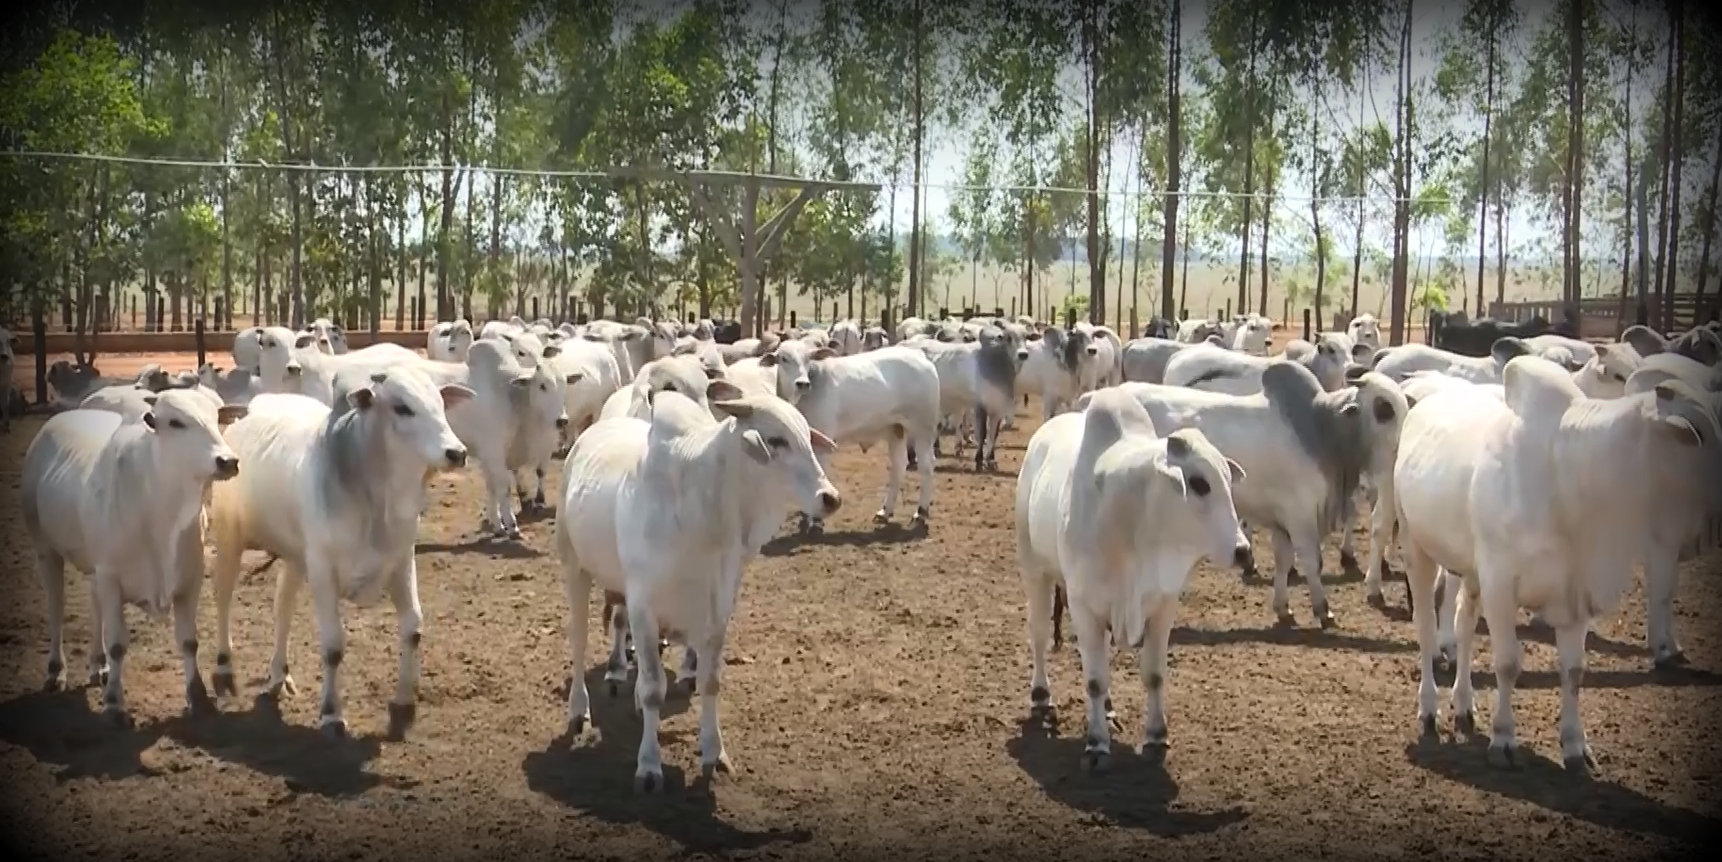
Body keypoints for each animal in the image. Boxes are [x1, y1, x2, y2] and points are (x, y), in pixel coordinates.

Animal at [20, 390, 246, 726]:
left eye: (216, 417)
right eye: (175, 422)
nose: (227, 461)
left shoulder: (189, 579)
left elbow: (188, 641)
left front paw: (198, 696)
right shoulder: (111, 578)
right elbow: (117, 644)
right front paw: (114, 703)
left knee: (93, 603)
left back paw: (97, 664)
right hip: (45, 549)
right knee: (56, 608)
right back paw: (55, 671)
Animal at [209, 366, 478, 736]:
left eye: (440, 403)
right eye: (402, 407)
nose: (456, 452)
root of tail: (249, 411)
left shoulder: (400, 560)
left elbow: (413, 627)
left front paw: (404, 701)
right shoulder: (323, 570)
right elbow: (334, 645)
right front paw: (331, 713)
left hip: (295, 556)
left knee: (282, 608)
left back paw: (279, 674)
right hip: (229, 537)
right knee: (223, 600)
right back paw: (224, 670)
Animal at [554, 383, 843, 791]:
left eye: (806, 435)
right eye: (776, 440)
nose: (829, 498)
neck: (704, 513)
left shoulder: (717, 608)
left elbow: (709, 681)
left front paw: (714, 752)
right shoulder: (643, 607)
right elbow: (654, 689)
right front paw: (649, 765)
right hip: (574, 568)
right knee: (579, 642)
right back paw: (579, 710)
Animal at [1012, 387, 1246, 770]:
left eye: (1228, 480)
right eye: (1199, 483)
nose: (1243, 550)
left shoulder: (1163, 607)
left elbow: (1153, 675)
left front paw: (1155, 737)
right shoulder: (1083, 606)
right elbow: (1093, 680)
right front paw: (1096, 745)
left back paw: (1107, 709)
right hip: (1034, 570)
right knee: (1040, 634)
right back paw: (1041, 695)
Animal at [1391, 356, 1715, 774]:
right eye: (1700, 434)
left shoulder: (1575, 591)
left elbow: (1574, 670)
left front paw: (1576, 745)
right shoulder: (1500, 582)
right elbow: (1508, 663)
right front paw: (1503, 738)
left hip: (1472, 571)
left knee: (1463, 626)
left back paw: (1463, 704)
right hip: (1418, 549)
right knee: (1428, 627)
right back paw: (1429, 708)